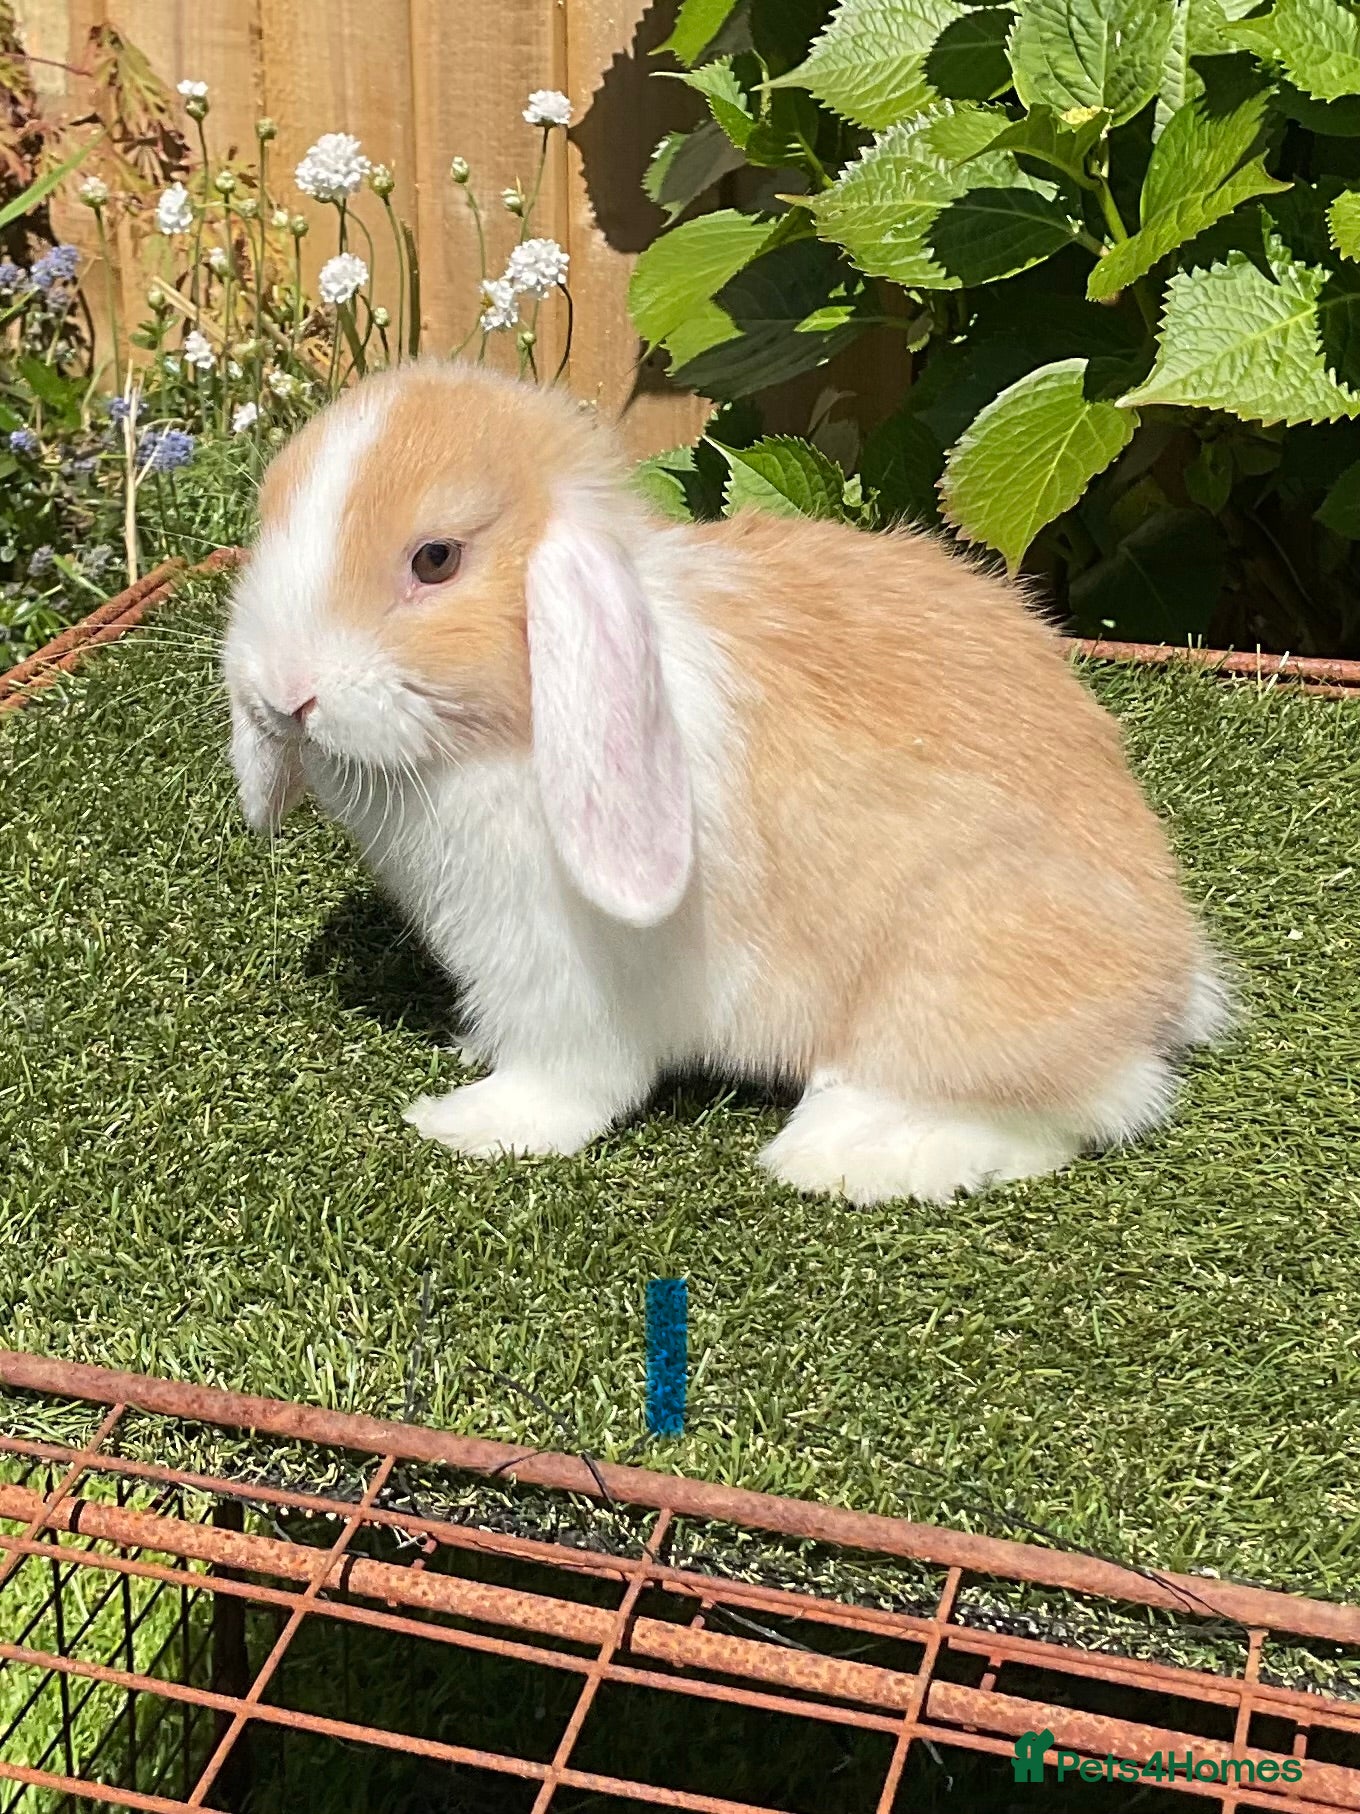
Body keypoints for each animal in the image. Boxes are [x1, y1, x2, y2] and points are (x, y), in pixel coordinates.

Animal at [222, 360, 1227, 1206]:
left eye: (436, 559)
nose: (285, 691)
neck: (507, 730)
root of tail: (1172, 981)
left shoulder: (563, 983)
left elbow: (565, 1082)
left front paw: (469, 1124)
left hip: (956, 970)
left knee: (1082, 1106)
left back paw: (853, 1152)